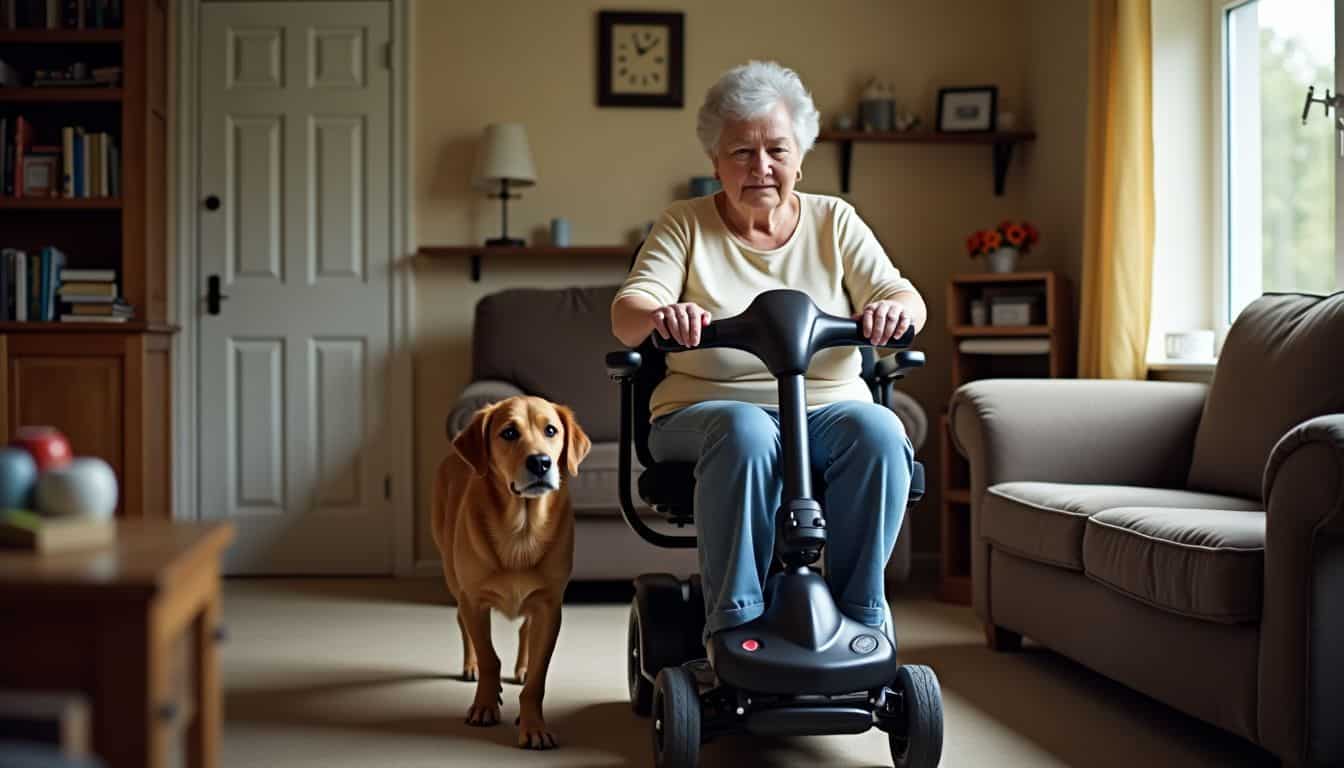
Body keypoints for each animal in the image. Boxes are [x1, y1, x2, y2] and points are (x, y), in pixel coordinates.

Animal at [432, 395, 591, 753]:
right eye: (508, 433)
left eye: (551, 430)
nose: (541, 462)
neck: (522, 531)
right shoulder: (475, 601)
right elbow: (489, 657)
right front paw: (484, 705)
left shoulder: (550, 606)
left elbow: (537, 678)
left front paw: (534, 725)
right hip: (453, 577)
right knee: (462, 623)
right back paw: (471, 666)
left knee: (524, 631)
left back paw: (521, 668)